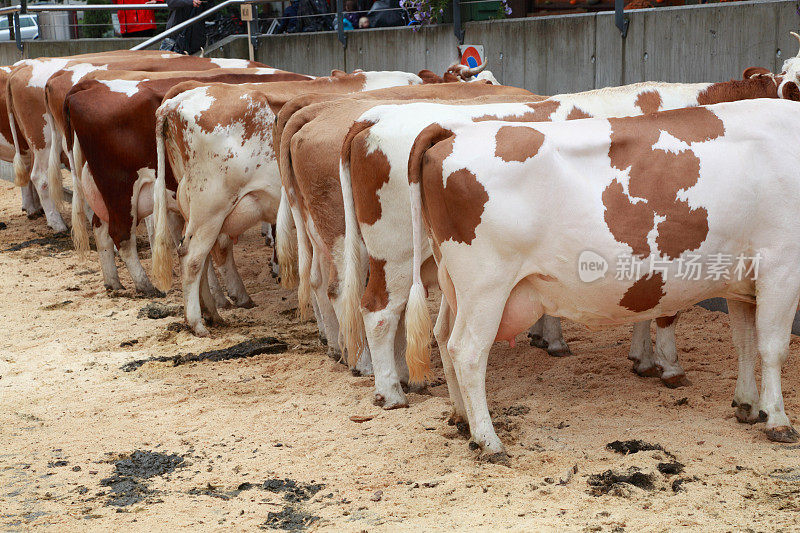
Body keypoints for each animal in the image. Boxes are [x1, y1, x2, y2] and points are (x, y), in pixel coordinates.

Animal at [63, 67, 310, 296]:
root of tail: (90, 86)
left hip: (105, 192)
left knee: (101, 229)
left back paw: (113, 282)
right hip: (122, 189)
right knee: (122, 235)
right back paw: (147, 286)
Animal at [148, 69, 488, 336]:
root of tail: (178, 100)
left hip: (199, 207)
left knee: (199, 255)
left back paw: (214, 312)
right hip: (210, 204)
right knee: (193, 256)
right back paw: (198, 322)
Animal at [338, 67, 792, 408]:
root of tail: (374, 116)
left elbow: (645, 304)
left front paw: (641, 357)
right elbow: (665, 311)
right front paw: (667, 366)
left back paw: (404, 379)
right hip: (397, 256)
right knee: (380, 313)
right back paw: (391, 391)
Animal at [404, 96, 800, 462]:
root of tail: (452, 133)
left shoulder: (743, 279)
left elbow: (745, 343)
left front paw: (748, 406)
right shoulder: (782, 266)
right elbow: (773, 347)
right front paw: (778, 420)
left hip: (455, 283)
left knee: (443, 337)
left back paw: (462, 421)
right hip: (486, 284)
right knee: (468, 350)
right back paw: (488, 441)